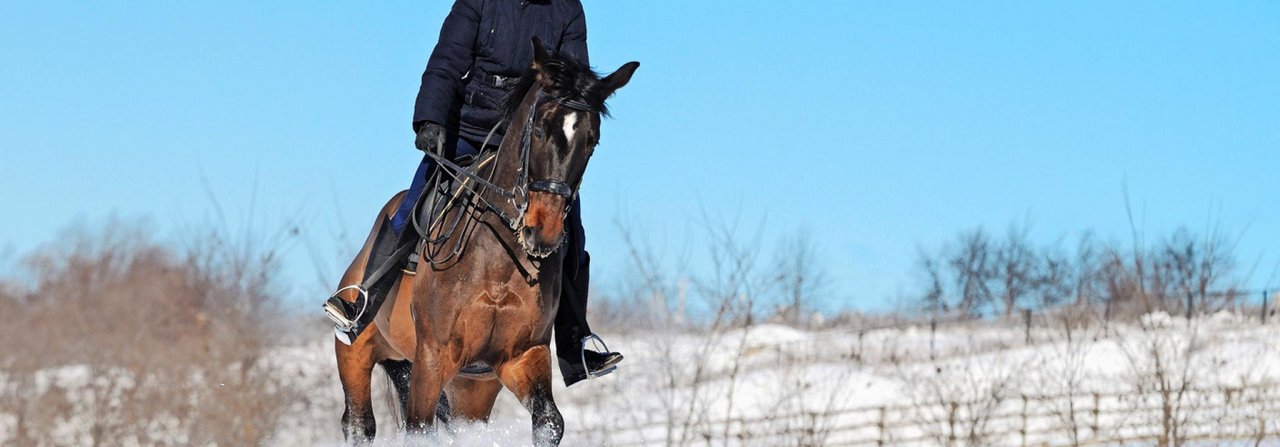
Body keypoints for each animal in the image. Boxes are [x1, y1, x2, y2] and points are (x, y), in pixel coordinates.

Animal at [332, 36, 637, 443]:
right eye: (539, 131)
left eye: (592, 140)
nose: (542, 231)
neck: (498, 259)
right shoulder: (432, 358)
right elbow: (419, 428)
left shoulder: (521, 357)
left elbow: (549, 421)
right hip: (357, 353)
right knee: (359, 423)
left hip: (473, 388)